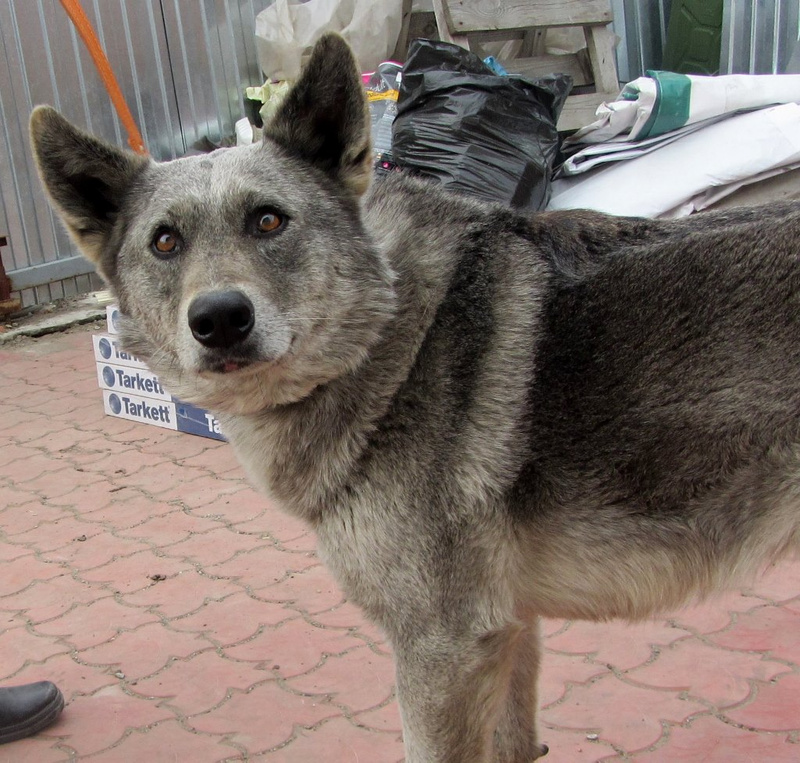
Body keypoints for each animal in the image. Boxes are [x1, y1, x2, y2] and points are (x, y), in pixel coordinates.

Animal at [31, 33, 800, 763]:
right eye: (165, 242)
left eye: (268, 222)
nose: (220, 318)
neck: (397, 334)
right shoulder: (508, 630)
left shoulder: (444, 649)